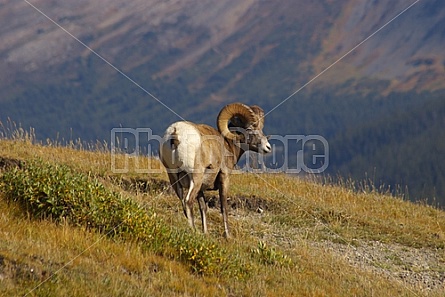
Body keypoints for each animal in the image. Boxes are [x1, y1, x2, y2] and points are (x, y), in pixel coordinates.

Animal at [160, 103, 270, 237]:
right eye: (249, 129)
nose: (267, 147)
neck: (228, 145)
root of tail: (175, 133)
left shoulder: (201, 189)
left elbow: (203, 208)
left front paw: (206, 233)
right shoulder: (224, 178)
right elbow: (224, 208)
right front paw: (228, 236)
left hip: (174, 178)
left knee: (182, 202)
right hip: (195, 178)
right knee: (188, 201)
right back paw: (194, 232)